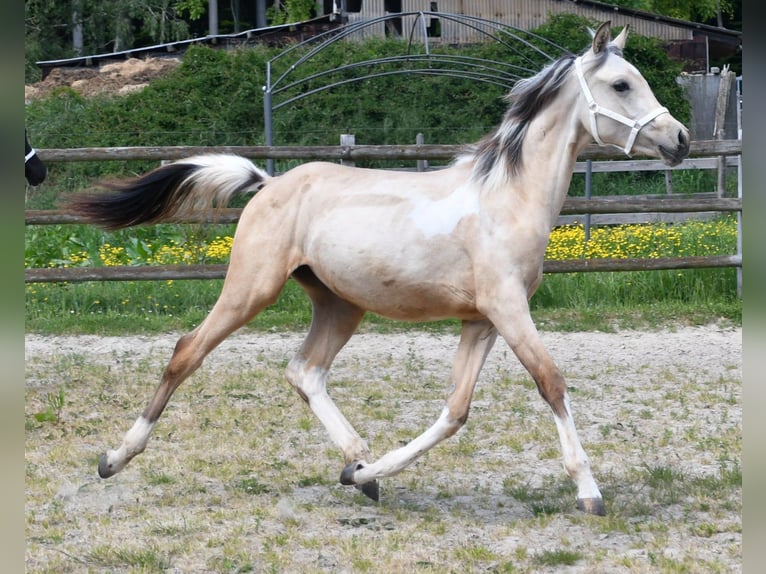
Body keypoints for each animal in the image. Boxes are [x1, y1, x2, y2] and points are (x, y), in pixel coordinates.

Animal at [66, 22, 689, 515]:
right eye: (621, 84)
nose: (680, 139)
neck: (505, 198)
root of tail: (269, 183)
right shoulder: (509, 308)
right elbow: (551, 382)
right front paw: (589, 491)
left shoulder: (481, 320)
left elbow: (456, 410)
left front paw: (366, 473)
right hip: (251, 288)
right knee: (187, 352)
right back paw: (113, 459)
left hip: (340, 304)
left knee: (305, 372)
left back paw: (358, 467)